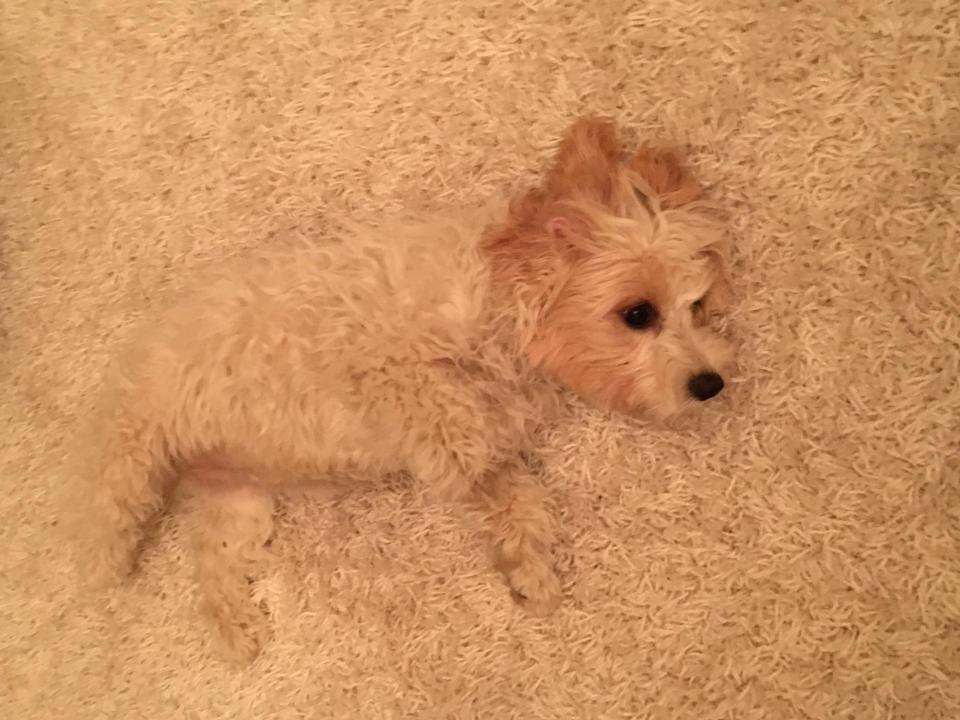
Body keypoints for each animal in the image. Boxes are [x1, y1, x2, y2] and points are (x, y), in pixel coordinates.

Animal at [73, 119, 736, 664]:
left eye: (697, 307)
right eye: (638, 314)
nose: (711, 384)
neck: (494, 304)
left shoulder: (496, 440)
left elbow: (513, 497)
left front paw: (530, 571)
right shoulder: (375, 359)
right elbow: (444, 416)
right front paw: (457, 457)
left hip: (240, 506)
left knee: (211, 561)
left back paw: (235, 632)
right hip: (137, 443)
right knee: (108, 505)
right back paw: (105, 565)